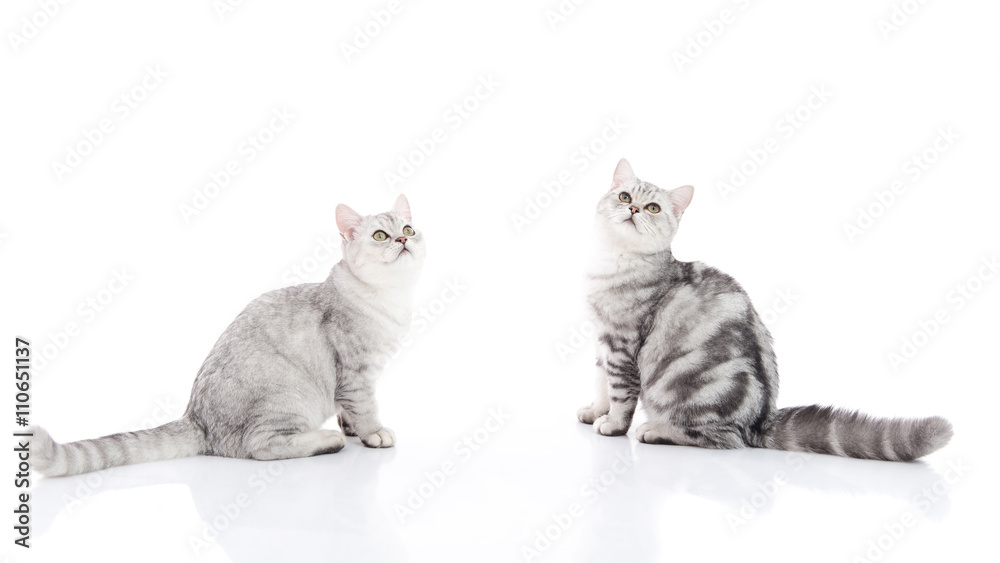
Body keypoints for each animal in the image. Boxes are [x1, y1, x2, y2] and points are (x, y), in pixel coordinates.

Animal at [32, 196, 426, 478]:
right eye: (380, 236)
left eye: (409, 228)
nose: (403, 239)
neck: (392, 297)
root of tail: (195, 418)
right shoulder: (356, 375)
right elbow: (367, 409)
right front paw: (373, 433)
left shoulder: (350, 384)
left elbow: (349, 410)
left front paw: (352, 428)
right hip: (289, 396)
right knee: (260, 446)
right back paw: (327, 440)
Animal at [580, 159, 952, 462]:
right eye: (624, 197)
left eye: (654, 207)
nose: (634, 209)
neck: (613, 263)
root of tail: (759, 421)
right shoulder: (601, 342)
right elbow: (600, 383)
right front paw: (595, 411)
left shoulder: (622, 344)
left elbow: (621, 393)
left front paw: (613, 424)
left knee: (719, 438)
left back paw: (655, 430)